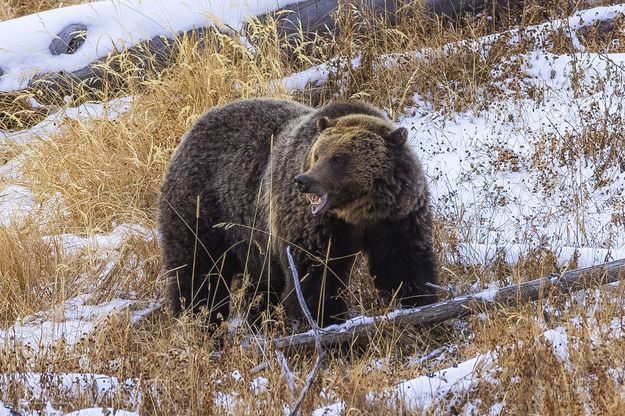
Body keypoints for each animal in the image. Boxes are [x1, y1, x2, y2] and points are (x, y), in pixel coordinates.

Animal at [158, 98, 436, 328]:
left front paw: (417, 303)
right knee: (199, 274)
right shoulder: (311, 227)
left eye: (338, 158)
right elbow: (315, 276)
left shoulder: (396, 218)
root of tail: (189, 132)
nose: (304, 181)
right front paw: (324, 322)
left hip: (254, 242)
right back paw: (199, 324)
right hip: (202, 210)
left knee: (261, 285)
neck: (356, 214)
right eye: (317, 153)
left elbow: (402, 265)